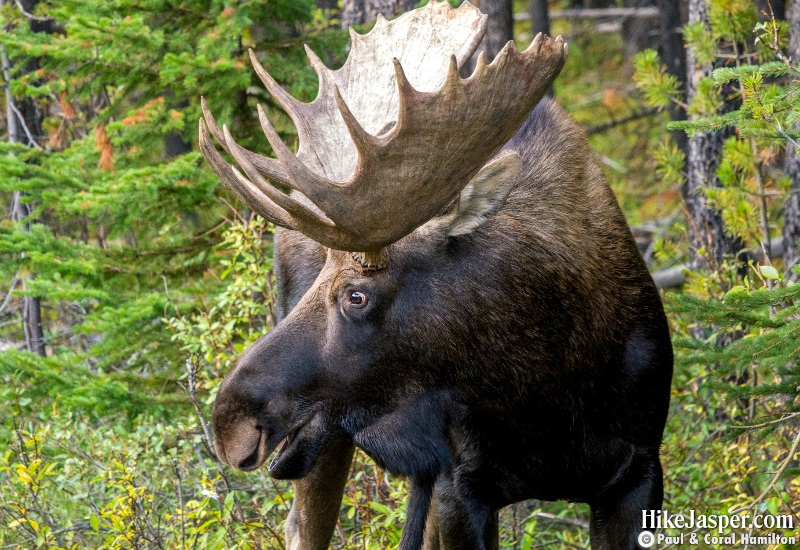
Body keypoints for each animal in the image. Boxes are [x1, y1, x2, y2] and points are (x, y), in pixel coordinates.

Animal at [198, 2, 668, 548]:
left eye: (356, 295)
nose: (228, 420)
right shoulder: (460, 486)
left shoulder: (638, 472)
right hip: (323, 441)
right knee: (301, 526)